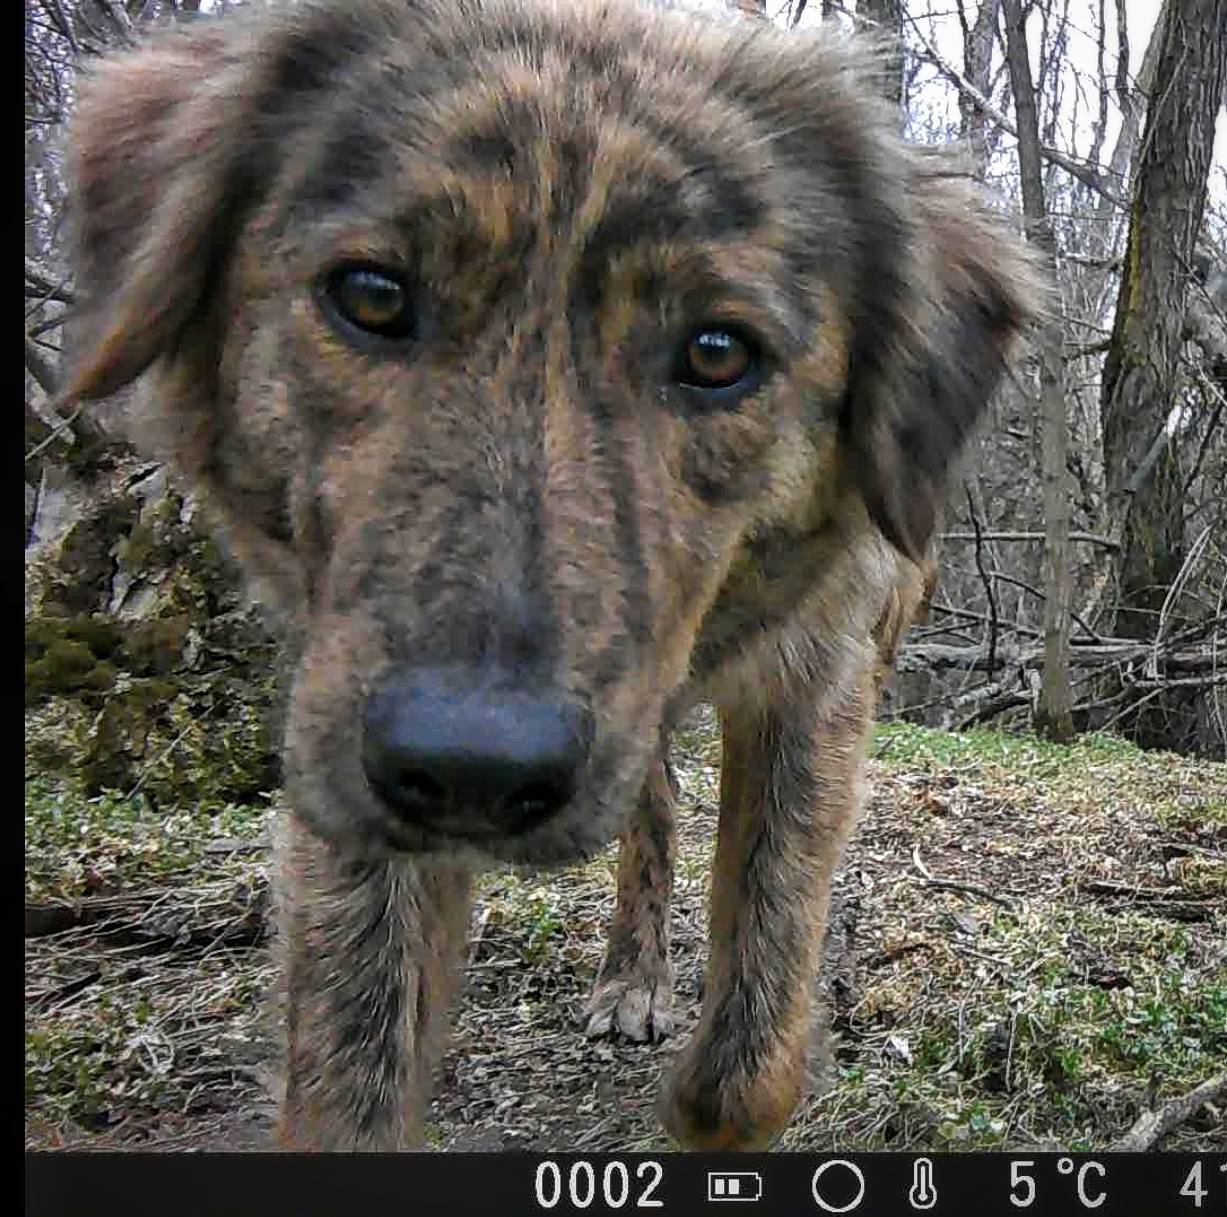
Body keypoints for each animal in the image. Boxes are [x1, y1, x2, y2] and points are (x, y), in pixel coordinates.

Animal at [65, 0, 1034, 1150]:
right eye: (372, 295)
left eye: (718, 352)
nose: (472, 768)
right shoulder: (342, 732)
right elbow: (351, 1073)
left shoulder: (818, 679)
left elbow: (746, 1062)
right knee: (651, 805)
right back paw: (631, 976)